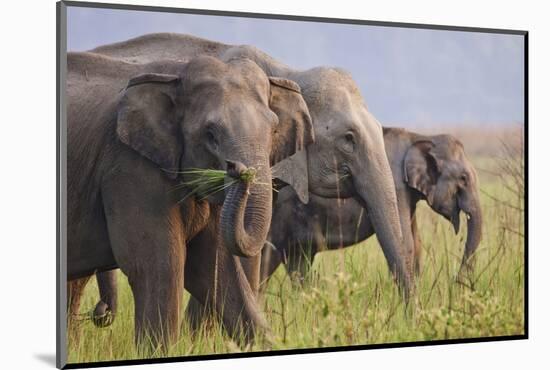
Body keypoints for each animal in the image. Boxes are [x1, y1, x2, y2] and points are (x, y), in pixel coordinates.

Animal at [64, 49, 314, 350]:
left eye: (274, 129)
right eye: (210, 134)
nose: (237, 170)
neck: (176, 75)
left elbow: (215, 267)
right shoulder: (130, 167)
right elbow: (158, 265)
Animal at [264, 127, 484, 286]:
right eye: (463, 179)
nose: (455, 281)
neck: (419, 137)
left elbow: (416, 244)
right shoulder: (397, 187)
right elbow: (406, 243)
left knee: (298, 267)